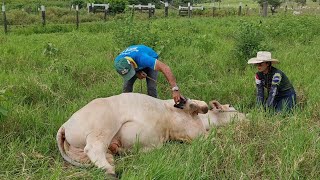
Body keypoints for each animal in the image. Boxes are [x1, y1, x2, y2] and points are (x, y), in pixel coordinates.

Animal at [56, 93, 209, 176]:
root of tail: (65, 125)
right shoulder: (172, 103)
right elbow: (204, 106)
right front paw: (189, 104)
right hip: (105, 123)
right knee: (93, 148)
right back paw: (112, 170)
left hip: (79, 151)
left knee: (98, 154)